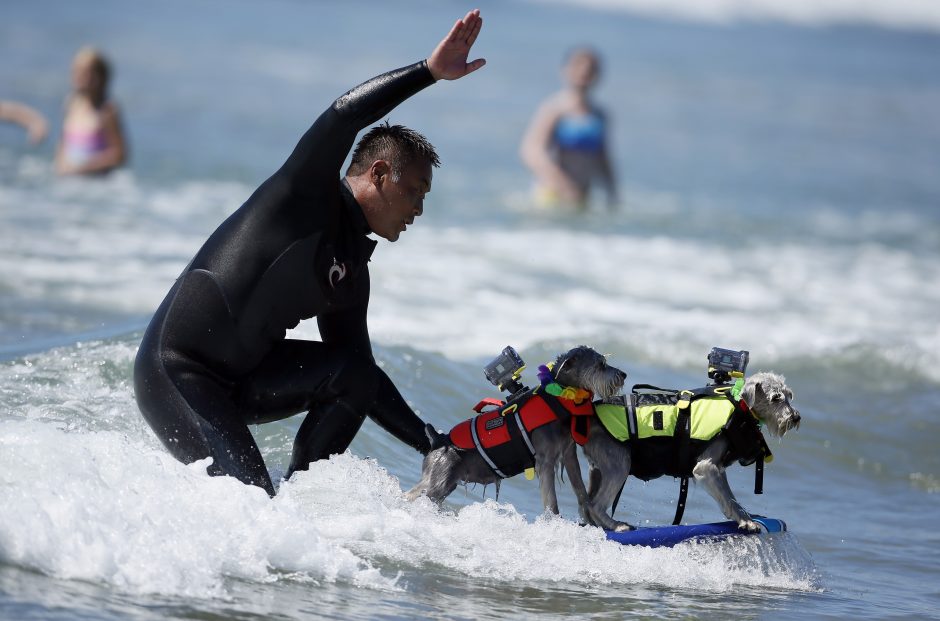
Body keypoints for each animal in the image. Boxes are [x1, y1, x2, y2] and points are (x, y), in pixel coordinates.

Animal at [408, 346, 628, 516]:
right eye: (600, 365)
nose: (623, 374)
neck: (556, 400)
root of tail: (438, 441)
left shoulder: (568, 454)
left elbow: (581, 490)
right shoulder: (545, 460)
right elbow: (551, 501)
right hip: (439, 481)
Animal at [580, 370, 800, 532]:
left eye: (789, 396)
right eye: (775, 398)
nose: (795, 417)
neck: (739, 406)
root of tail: (590, 417)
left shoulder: (718, 468)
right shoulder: (706, 467)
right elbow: (730, 498)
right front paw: (746, 521)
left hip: (598, 468)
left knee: (586, 504)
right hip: (619, 463)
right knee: (596, 504)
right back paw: (617, 525)